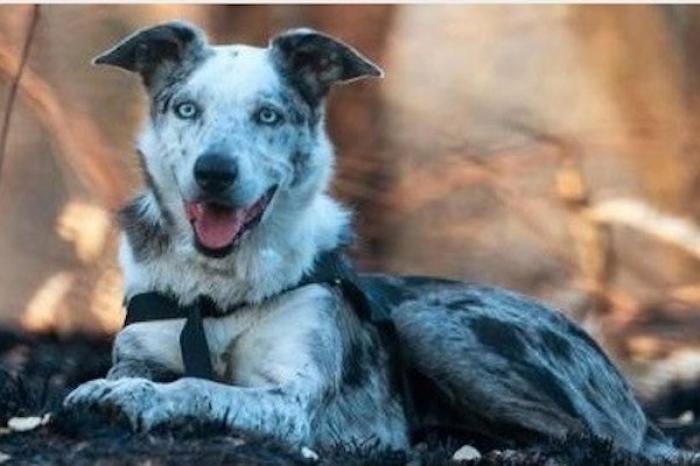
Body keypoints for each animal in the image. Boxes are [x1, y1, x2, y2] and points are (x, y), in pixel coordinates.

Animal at [64, 20, 684, 458]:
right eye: (186, 109)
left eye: (268, 116)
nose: (214, 172)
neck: (219, 288)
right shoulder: (143, 351)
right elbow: (140, 373)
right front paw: (115, 390)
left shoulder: (289, 403)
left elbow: (201, 388)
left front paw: (135, 399)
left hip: (428, 322)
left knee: (598, 439)